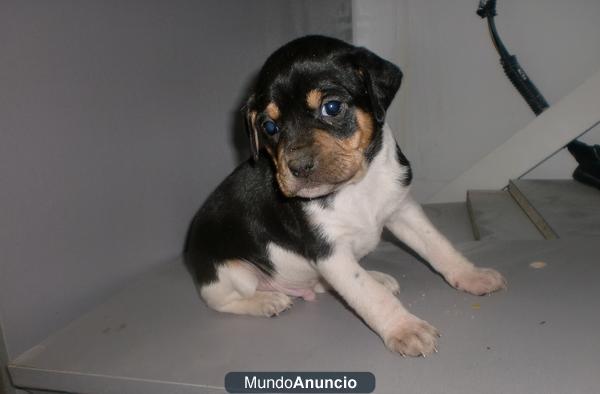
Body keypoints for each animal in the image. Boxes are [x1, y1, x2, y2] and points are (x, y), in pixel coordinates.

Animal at [184, 36, 506, 358]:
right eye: (269, 127)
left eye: (332, 107)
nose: (298, 167)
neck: (355, 186)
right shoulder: (330, 251)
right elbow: (368, 294)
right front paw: (405, 329)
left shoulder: (403, 210)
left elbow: (439, 246)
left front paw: (473, 275)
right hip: (231, 273)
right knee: (224, 301)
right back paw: (266, 301)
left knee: (324, 285)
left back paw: (376, 277)